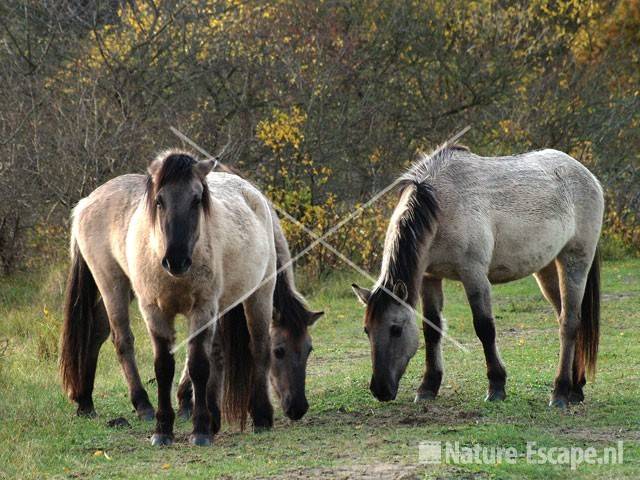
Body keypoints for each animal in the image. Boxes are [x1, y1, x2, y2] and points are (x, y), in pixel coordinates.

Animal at [60, 151, 278, 446]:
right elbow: (163, 366)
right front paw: (163, 429)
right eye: (159, 201)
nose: (176, 260)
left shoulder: (203, 309)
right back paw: (130, 405)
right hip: (112, 283)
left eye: (197, 199)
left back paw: (262, 415)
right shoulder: (154, 310)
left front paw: (200, 429)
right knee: (118, 339)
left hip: (260, 292)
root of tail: (85, 203)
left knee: (259, 346)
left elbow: (199, 364)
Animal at [352, 144, 604, 406]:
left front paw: (496, 386)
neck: (440, 207)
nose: (380, 390)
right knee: (568, 318)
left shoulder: (473, 274)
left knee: (569, 323)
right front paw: (428, 387)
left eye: (396, 329)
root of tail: (588, 176)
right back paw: (576, 388)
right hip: (547, 270)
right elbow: (432, 329)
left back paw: (561, 392)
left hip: (575, 261)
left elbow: (484, 327)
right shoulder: (429, 278)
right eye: (367, 330)